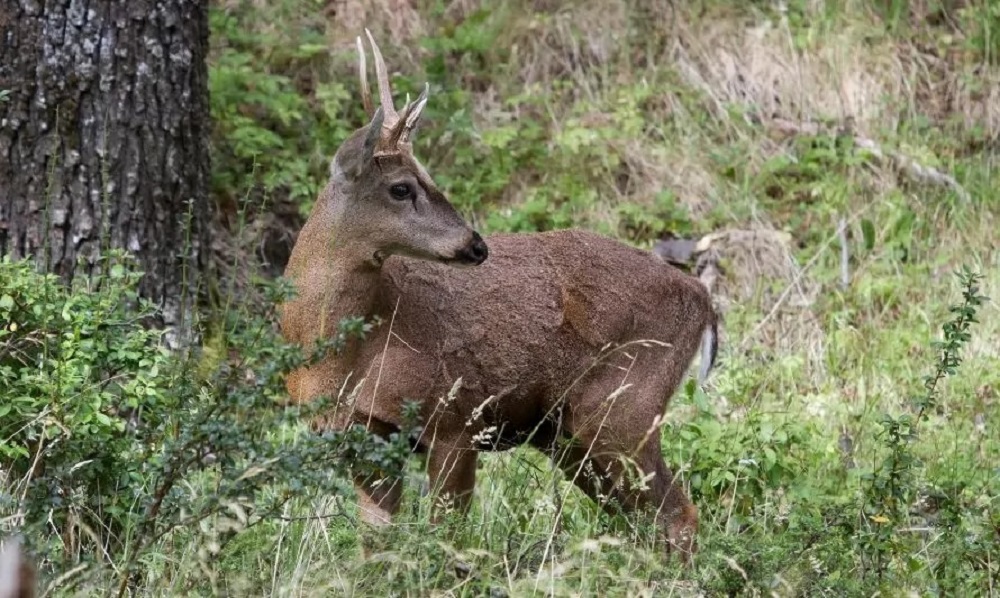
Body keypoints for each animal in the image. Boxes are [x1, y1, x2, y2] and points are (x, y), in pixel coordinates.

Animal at [282, 29, 720, 564]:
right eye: (401, 187)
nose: (476, 245)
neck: (342, 352)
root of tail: (702, 297)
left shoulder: (455, 420)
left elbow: (446, 538)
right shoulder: (362, 436)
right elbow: (376, 543)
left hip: (624, 407)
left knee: (679, 515)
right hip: (567, 435)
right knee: (646, 520)